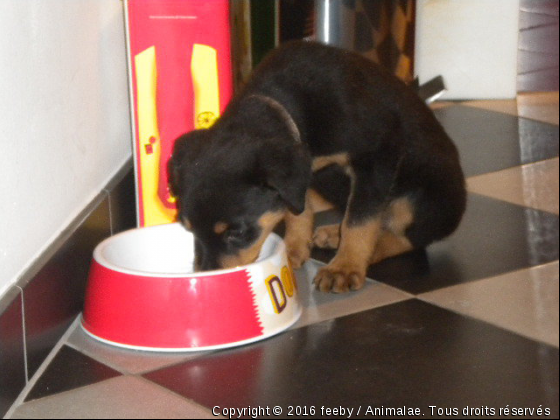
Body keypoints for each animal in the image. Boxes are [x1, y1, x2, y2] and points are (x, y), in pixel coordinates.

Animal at [168, 41, 466, 294]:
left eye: (237, 232)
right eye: (188, 228)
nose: (208, 277)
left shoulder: (377, 156)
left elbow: (361, 219)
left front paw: (344, 267)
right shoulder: (302, 173)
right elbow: (299, 211)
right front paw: (293, 249)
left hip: (421, 200)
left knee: (409, 234)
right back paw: (334, 232)